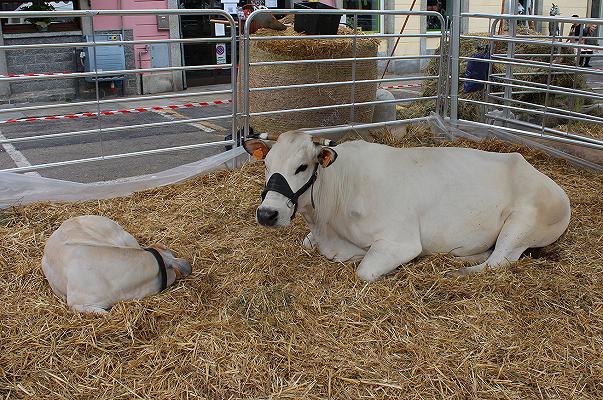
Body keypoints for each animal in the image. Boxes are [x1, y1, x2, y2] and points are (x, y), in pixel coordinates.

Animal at [244, 131, 572, 282]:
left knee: (499, 262)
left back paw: (456, 271)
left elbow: (364, 271)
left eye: (302, 167)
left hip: (522, 224)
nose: (267, 213)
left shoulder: (399, 241)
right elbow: (306, 242)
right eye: (267, 164)